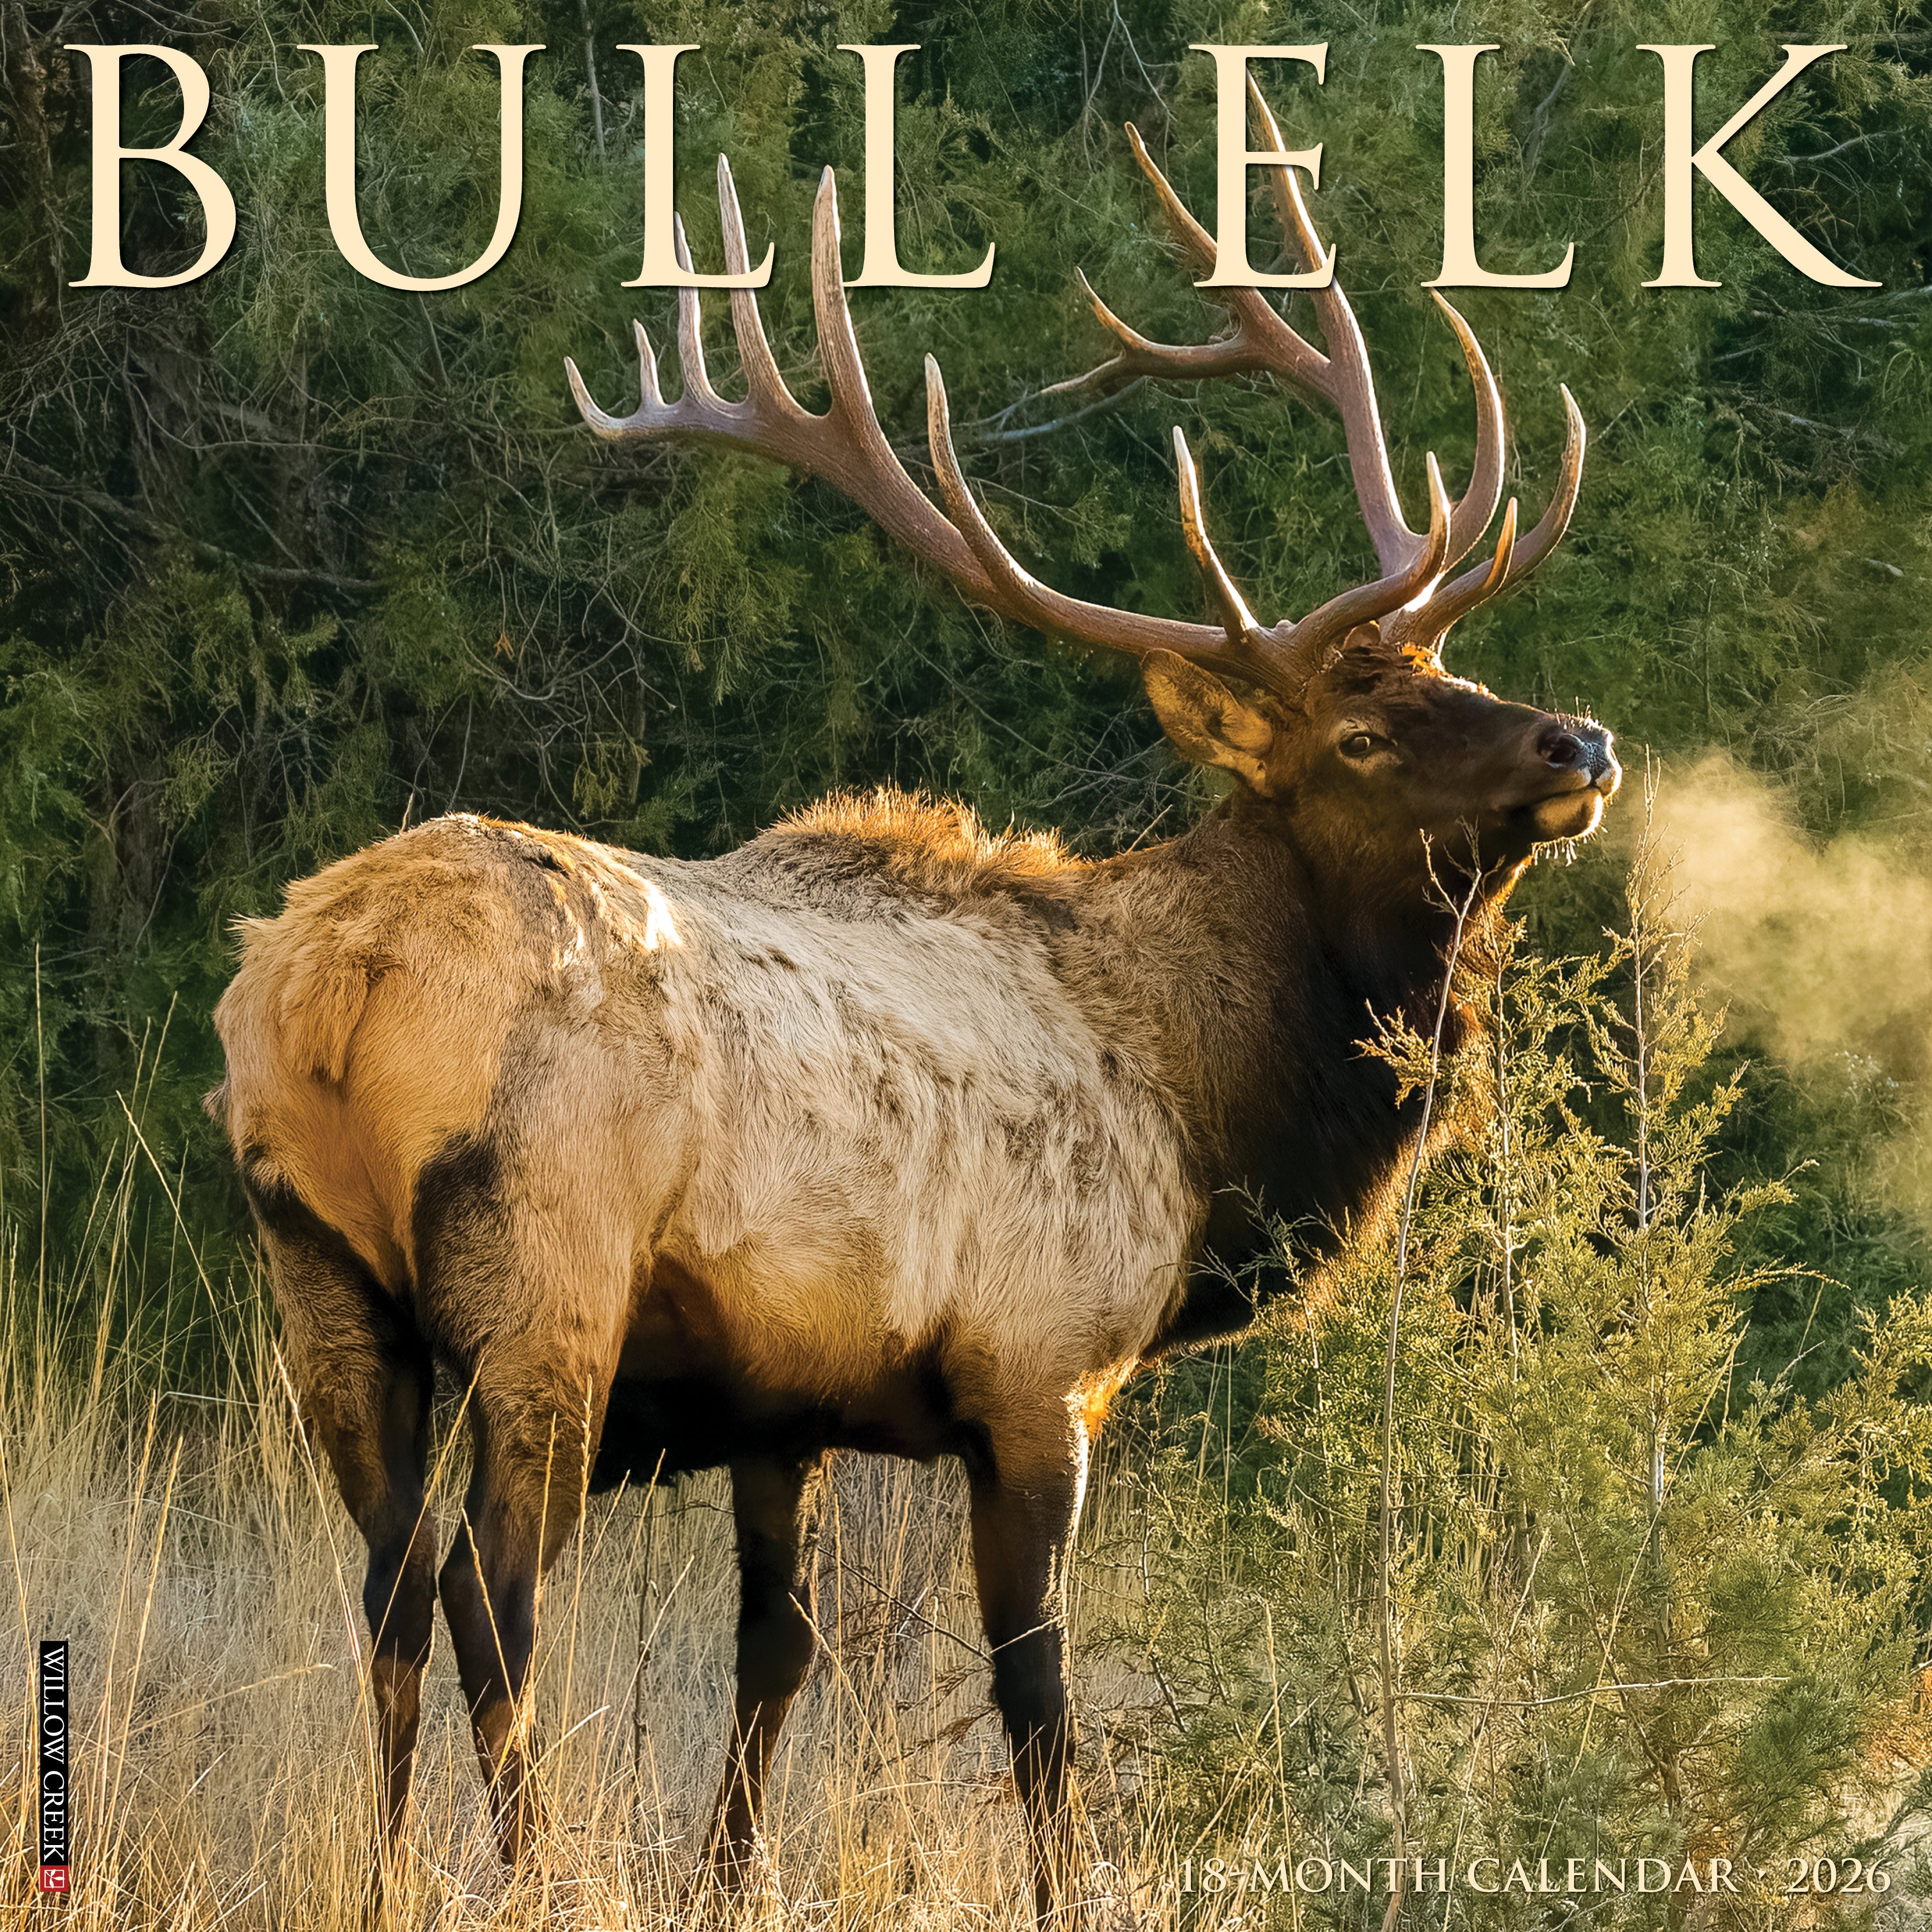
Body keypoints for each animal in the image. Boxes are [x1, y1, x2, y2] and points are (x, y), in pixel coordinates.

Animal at [208, 81, 1618, 1927]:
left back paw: (378, 1879)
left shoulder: (781, 1403)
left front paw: (729, 1880)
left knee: (381, 1595)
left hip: (319, 1282)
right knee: (488, 1601)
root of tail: (333, 982)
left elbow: (779, 1657)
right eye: (1365, 732)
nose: (1580, 741)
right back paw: (537, 1874)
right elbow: (1040, 1695)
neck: (1207, 1104)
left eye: (1457, 670)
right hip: (544, 1280)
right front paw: (1072, 1886)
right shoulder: (1041, 1366)